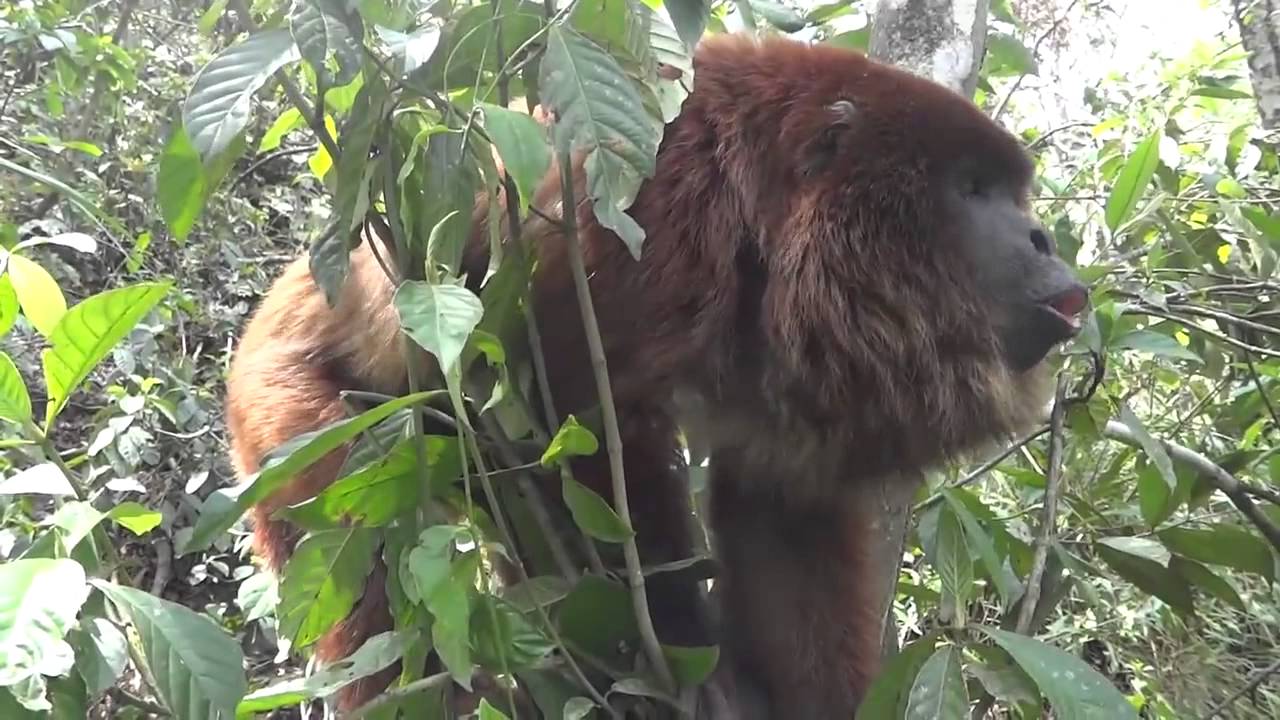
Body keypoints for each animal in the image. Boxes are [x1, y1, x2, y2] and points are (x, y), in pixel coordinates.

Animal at [225, 32, 1088, 718]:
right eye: (971, 189)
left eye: (1011, 192)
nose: (1045, 239)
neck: (766, 208)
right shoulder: (644, 201)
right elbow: (572, 412)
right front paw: (678, 660)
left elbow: (782, 506)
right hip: (293, 428)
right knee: (373, 572)